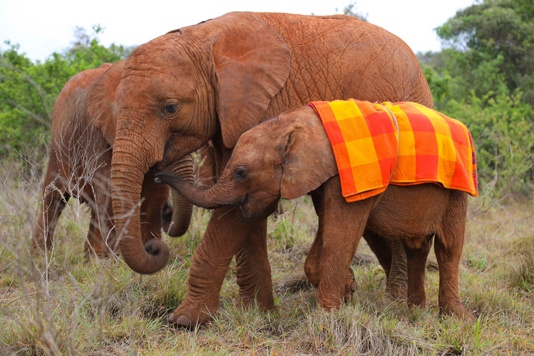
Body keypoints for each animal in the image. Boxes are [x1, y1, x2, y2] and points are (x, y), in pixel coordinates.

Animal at [33, 59, 195, 258]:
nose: (168, 211)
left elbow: (155, 192)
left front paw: (149, 253)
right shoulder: (97, 131)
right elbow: (110, 188)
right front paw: (120, 260)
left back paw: (91, 259)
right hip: (59, 143)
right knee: (53, 197)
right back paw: (40, 257)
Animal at [111, 11, 434, 328]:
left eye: (170, 108)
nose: (156, 246)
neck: (204, 40)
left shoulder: (267, 108)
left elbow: (246, 206)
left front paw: (184, 321)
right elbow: (246, 204)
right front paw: (257, 312)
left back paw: (395, 302)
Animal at [157, 98, 480, 318]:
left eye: (240, 173)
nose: (158, 176)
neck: (293, 121)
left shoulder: (346, 174)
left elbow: (340, 233)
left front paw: (328, 315)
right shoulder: (322, 175)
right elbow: (327, 226)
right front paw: (348, 291)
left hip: (456, 191)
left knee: (448, 248)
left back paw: (453, 318)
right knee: (417, 247)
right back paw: (414, 311)